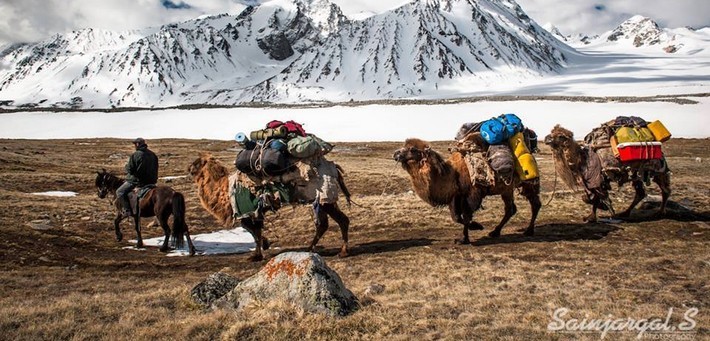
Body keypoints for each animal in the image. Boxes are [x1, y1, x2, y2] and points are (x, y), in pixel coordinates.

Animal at [188, 152, 352, 260]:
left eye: (197, 163)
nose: (189, 168)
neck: (225, 190)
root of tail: (334, 168)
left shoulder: (248, 211)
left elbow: (254, 231)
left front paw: (258, 254)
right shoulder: (253, 211)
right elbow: (255, 231)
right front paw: (262, 248)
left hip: (325, 198)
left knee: (341, 221)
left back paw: (342, 252)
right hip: (322, 201)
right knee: (325, 224)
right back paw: (310, 249)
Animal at [394, 137, 540, 243]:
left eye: (413, 149)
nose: (396, 153)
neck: (453, 174)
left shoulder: (472, 195)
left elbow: (466, 215)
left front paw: (466, 237)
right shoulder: (456, 196)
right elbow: (457, 217)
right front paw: (474, 228)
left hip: (526, 183)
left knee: (534, 204)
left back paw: (528, 231)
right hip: (506, 189)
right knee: (511, 209)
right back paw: (495, 232)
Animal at [544, 123, 672, 222]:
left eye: (561, 136)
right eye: (551, 131)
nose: (546, 138)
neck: (581, 160)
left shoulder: (597, 179)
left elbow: (598, 197)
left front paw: (601, 213)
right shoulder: (594, 181)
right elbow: (590, 197)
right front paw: (595, 214)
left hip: (657, 170)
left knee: (665, 190)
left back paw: (660, 212)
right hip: (636, 174)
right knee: (640, 192)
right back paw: (625, 213)